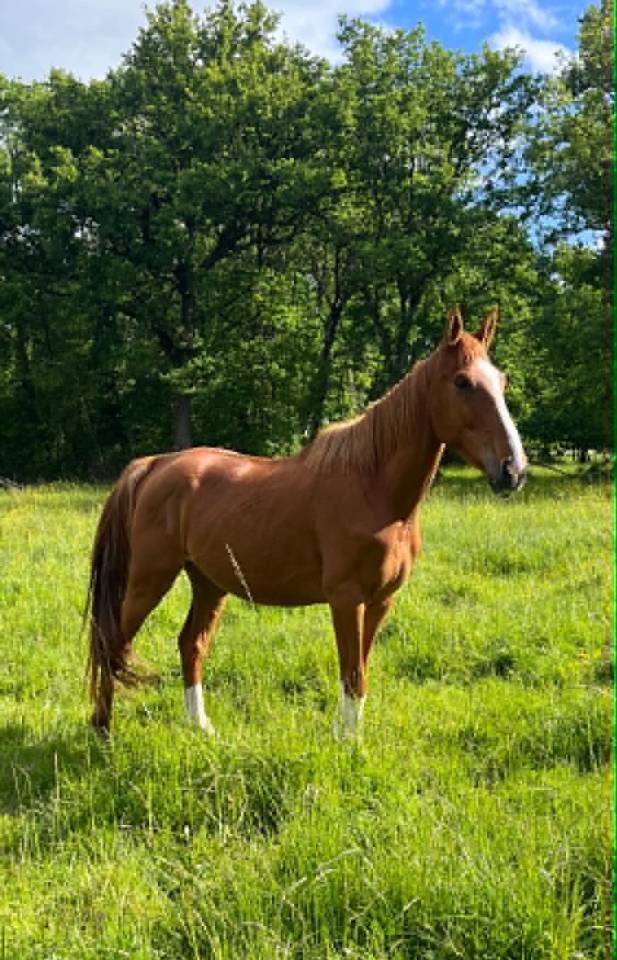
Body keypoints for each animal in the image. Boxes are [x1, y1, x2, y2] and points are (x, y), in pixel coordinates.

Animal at [86, 307, 527, 739]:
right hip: (151, 578)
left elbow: (360, 671)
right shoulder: (346, 599)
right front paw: (348, 745)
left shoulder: (381, 601)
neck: (374, 490)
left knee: (190, 644)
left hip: (209, 582)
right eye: (463, 382)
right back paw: (103, 729)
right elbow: (353, 676)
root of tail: (156, 465)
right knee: (112, 641)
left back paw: (201, 728)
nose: (514, 470)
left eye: (502, 381)